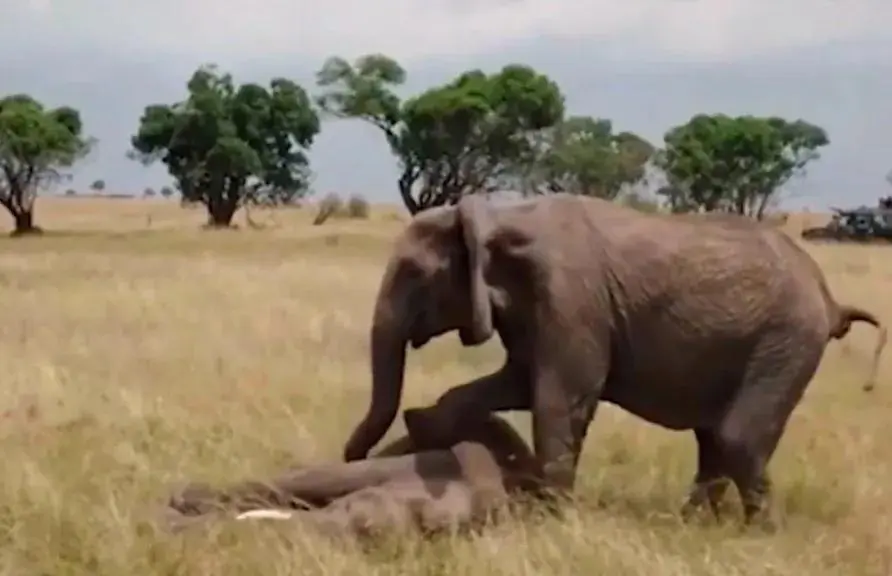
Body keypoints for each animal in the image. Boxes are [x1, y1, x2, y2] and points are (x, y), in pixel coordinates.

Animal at [340, 196, 884, 528]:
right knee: (714, 439)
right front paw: (430, 422)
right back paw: (689, 527)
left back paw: (759, 533)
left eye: (413, 273)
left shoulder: (572, 299)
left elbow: (558, 400)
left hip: (786, 342)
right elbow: (515, 382)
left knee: (736, 438)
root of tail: (830, 300)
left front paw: (550, 520)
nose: (354, 460)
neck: (499, 214)